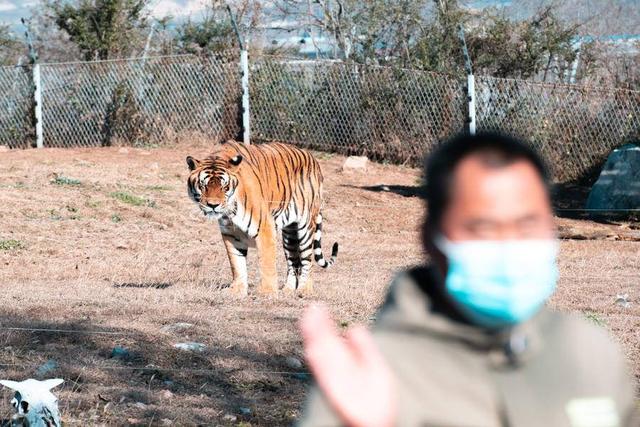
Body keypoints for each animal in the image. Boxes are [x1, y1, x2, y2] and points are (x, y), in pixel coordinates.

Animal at [188, 142, 338, 296]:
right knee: (293, 263)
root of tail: (314, 160)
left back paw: (305, 289)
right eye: (203, 185)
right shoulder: (231, 234)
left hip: (305, 227)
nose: (213, 205)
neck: (230, 212)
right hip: (289, 234)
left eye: (225, 186)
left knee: (307, 260)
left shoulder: (265, 228)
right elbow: (237, 263)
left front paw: (267, 292)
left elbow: (267, 263)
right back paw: (288, 290)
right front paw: (237, 290)